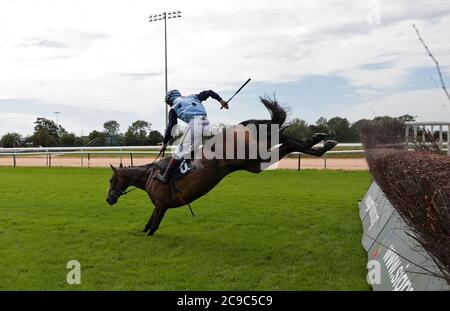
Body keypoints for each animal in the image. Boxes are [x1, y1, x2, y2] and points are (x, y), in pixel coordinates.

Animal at [106, 97, 338, 236]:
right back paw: (320, 141)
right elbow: (147, 226)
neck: (150, 175)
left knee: (283, 139)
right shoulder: (159, 207)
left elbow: (151, 228)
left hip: (250, 155)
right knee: (285, 141)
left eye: (111, 180)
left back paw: (319, 141)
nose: (108, 199)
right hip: (254, 163)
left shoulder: (161, 205)